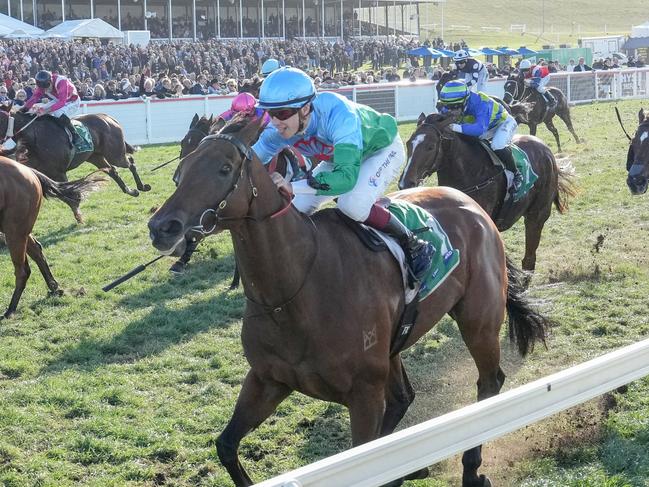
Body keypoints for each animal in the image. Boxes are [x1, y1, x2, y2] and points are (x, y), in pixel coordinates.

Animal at [0, 108, 149, 223]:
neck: (35, 137)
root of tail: (107, 117)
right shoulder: (37, 173)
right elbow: (61, 193)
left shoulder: (58, 173)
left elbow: (66, 193)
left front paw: (78, 210)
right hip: (95, 156)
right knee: (113, 171)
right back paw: (131, 191)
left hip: (115, 154)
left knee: (130, 162)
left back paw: (141, 186)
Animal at [0, 157, 102, 320]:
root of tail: (29, 171)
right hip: (16, 229)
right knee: (36, 251)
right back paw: (54, 288)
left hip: (14, 230)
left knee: (22, 270)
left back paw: (11, 309)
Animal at [148, 119, 552, 487]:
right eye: (183, 167)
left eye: (224, 168)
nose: (162, 227)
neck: (294, 290)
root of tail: (470, 204)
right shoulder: (267, 379)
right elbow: (227, 445)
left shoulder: (363, 394)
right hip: (395, 345)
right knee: (404, 397)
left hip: (478, 318)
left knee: (489, 383)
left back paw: (470, 469)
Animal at [398, 112, 576, 276]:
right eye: (408, 144)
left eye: (430, 146)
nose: (405, 183)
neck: (471, 173)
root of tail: (546, 150)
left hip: (537, 214)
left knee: (529, 258)